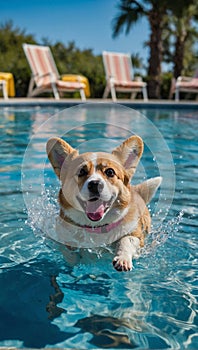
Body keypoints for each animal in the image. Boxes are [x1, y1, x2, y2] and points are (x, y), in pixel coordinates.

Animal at [46, 135, 162, 272]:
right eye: (81, 172)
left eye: (110, 172)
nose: (94, 184)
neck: (96, 227)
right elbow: (68, 250)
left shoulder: (136, 235)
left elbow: (126, 241)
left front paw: (122, 259)